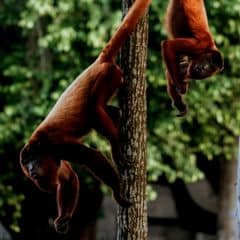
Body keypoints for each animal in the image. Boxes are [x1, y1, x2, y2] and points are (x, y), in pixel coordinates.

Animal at [19, 0, 151, 233]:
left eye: (32, 160)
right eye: (26, 164)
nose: (31, 169)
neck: (39, 145)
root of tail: (97, 63)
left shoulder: (55, 144)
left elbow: (91, 157)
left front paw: (117, 193)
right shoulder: (54, 155)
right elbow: (67, 177)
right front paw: (63, 218)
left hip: (109, 75)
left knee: (94, 107)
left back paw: (116, 149)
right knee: (105, 111)